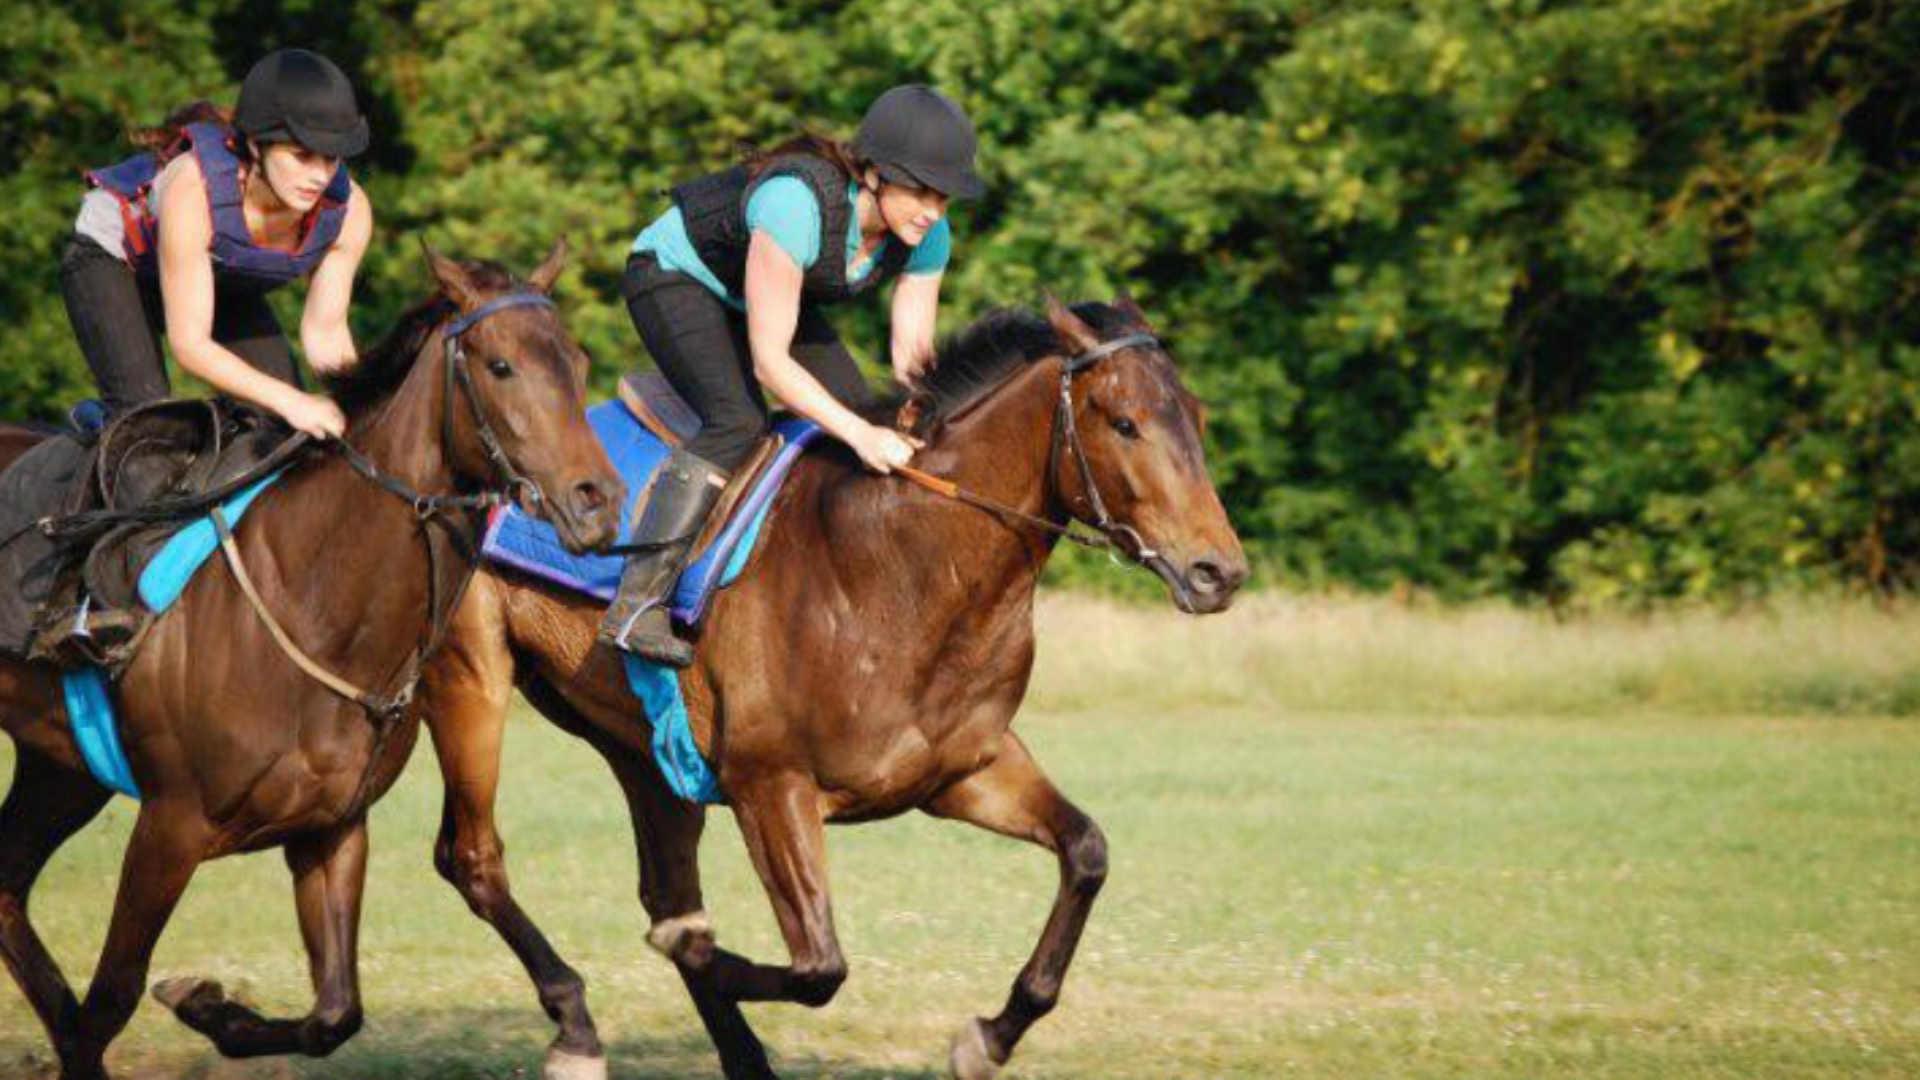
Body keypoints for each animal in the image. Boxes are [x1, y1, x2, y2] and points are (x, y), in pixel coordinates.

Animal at [0, 241, 624, 1080]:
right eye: (500, 366)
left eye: (577, 362)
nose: (599, 502)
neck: (313, 600)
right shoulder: (168, 827)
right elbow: (112, 999)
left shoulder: (330, 830)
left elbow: (335, 1013)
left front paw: (208, 1006)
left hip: (62, 770)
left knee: (6, 884)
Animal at [414, 295, 1249, 1080]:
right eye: (1125, 423)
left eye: (1197, 417)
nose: (1219, 571)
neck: (902, 565)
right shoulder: (769, 785)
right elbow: (819, 966)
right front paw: (696, 954)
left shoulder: (965, 771)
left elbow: (1087, 851)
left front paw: (989, 1037)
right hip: (470, 682)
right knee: (473, 858)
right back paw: (578, 1029)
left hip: (640, 745)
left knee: (664, 884)